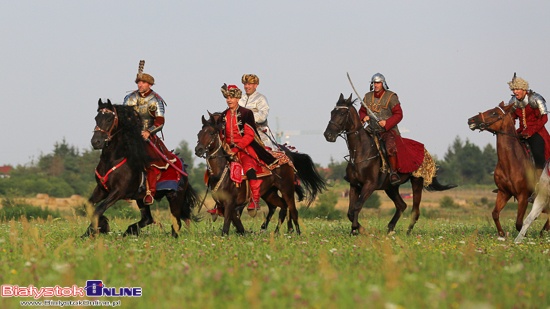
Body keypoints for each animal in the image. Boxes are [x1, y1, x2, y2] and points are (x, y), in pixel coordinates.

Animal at [85, 100, 199, 237]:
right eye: (96, 118)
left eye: (109, 119)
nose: (96, 142)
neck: (112, 159)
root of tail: (183, 168)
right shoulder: (101, 189)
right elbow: (89, 207)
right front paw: (92, 230)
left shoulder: (118, 192)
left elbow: (99, 209)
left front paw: (96, 229)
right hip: (142, 198)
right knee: (147, 219)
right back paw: (128, 232)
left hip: (175, 197)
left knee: (176, 222)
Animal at [195, 112, 328, 235]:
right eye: (199, 134)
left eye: (211, 133)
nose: (198, 149)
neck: (221, 173)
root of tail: (287, 156)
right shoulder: (225, 205)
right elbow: (237, 223)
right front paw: (243, 233)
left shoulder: (229, 203)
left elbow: (226, 227)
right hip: (269, 193)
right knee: (282, 206)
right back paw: (275, 232)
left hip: (287, 189)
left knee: (292, 209)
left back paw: (296, 233)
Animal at [324, 93, 458, 233]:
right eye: (332, 112)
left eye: (343, 113)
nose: (328, 135)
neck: (361, 152)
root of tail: (425, 150)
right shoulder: (354, 185)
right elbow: (350, 211)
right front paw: (357, 230)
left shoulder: (369, 185)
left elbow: (357, 206)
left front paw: (357, 230)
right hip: (391, 187)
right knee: (401, 205)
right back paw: (390, 229)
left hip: (416, 181)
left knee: (415, 210)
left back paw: (407, 232)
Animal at [468, 101, 548, 236]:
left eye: (494, 113)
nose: (471, 120)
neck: (511, 163)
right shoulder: (504, 192)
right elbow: (495, 214)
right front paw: (501, 235)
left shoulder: (523, 196)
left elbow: (519, 223)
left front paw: (525, 235)